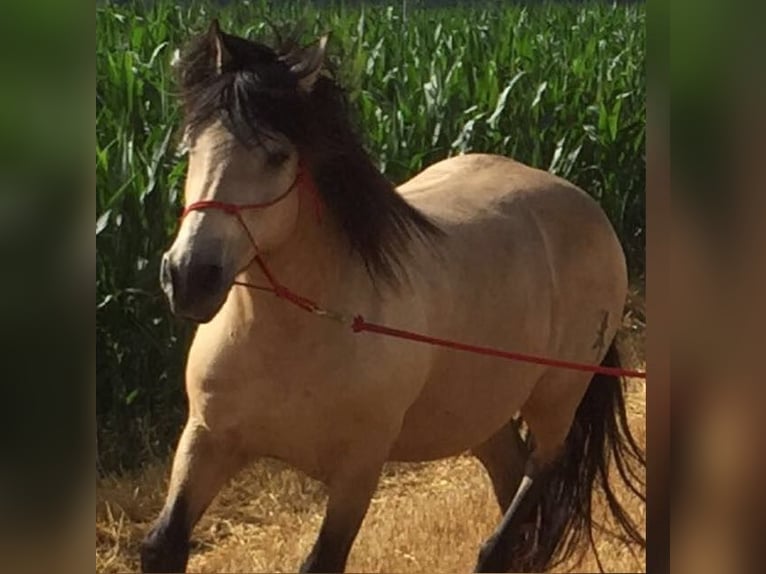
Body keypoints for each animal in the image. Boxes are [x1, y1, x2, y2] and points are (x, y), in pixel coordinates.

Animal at [141, 20, 644, 574]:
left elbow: (322, 561)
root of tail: (584, 205)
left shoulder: (358, 470)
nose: (190, 276)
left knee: (527, 496)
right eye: (191, 147)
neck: (297, 333)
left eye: (277, 156)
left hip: (556, 401)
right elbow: (161, 546)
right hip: (482, 413)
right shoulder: (207, 441)